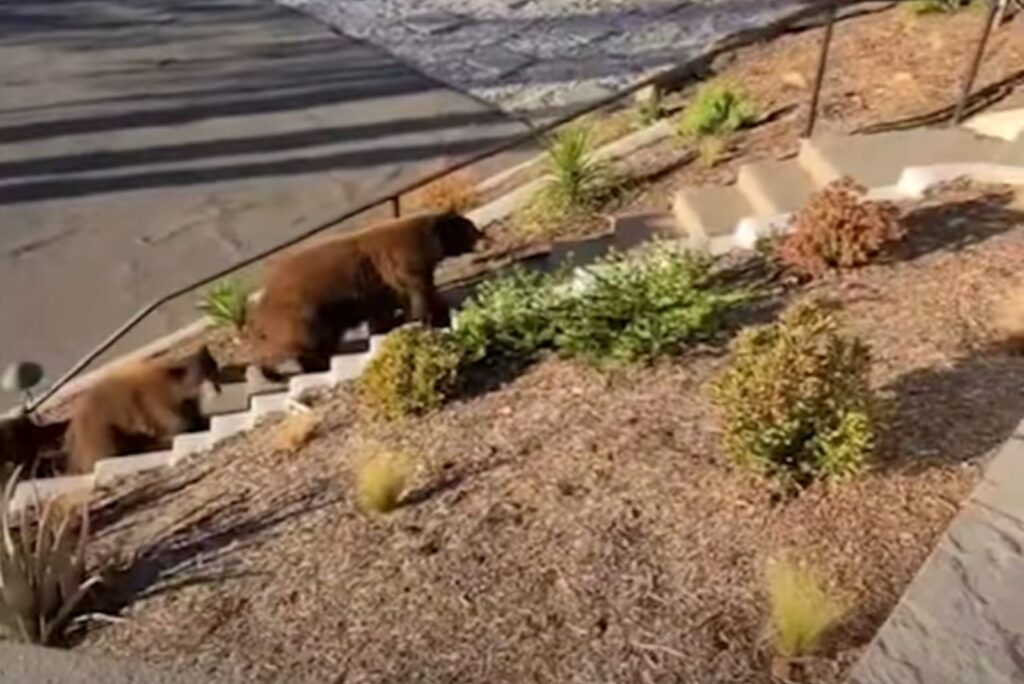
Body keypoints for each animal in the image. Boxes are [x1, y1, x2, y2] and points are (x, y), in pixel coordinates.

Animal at [63, 344, 220, 473]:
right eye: (204, 376)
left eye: (214, 371)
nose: (217, 389)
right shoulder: (157, 401)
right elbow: (177, 425)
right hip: (98, 430)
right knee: (107, 450)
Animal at [249, 211, 485, 376]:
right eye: (470, 228)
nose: (484, 236)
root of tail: (259, 310)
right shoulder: (401, 265)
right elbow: (417, 294)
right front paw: (424, 319)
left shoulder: (384, 284)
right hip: (300, 313)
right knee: (304, 341)